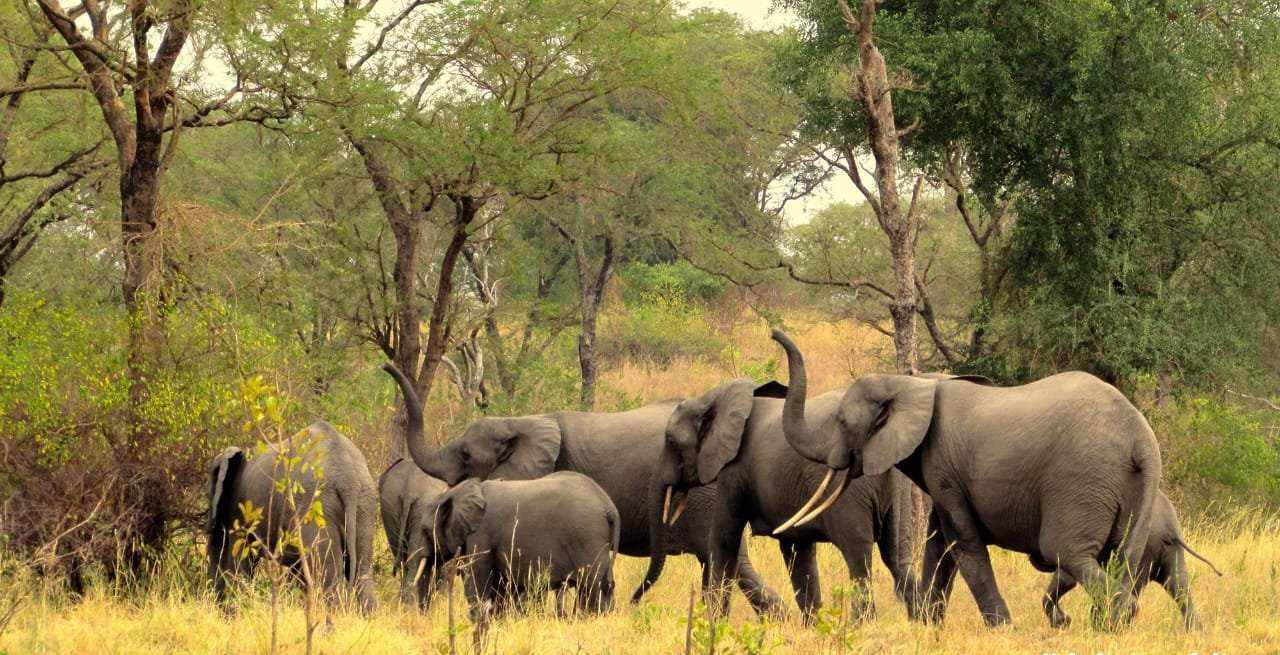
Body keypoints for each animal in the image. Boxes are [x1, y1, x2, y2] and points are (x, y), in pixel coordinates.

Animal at [205, 422, 377, 615]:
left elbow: (240, 558)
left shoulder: (240, 509)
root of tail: (348, 479)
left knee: (327, 574)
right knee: (362, 572)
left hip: (315, 506)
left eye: (207, 494)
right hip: (365, 504)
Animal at [427, 472, 620, 626]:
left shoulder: (480, 534)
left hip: (587, 538)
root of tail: (609, 506)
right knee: (604, 585)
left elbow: (477, 578)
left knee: (592, 586)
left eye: (425, 530)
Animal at [652, 377, 917, 623]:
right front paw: (813, 627)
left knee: (858, 559)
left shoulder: (733, 471)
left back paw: (860, 627)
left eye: (671, 441)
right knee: (897, 558)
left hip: (849, 494)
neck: (716, 397)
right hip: (901, 494)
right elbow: (798, 554)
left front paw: (715, 627)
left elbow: (723, 539)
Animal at [770, 329, 1162, 629]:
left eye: (841, 422)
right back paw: (1108, 623)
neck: (911, 383)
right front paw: (928, 625)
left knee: (1067, 552)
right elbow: (938, 542)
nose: (775, 334)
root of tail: (1141, 436)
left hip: (1081, 481)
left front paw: (1001, 629)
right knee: (1121, 555)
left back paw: (1099, 621)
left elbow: (962, 539)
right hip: (1124, 488)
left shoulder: (943, 463)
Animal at [1041, 490, 1221, 629]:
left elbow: (1067, 575)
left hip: (1145, 547)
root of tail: (1169, 528)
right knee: (1178, 584)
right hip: (1170, 551)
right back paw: (1196, 631)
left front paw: (1063, 623)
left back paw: (1104, 624)